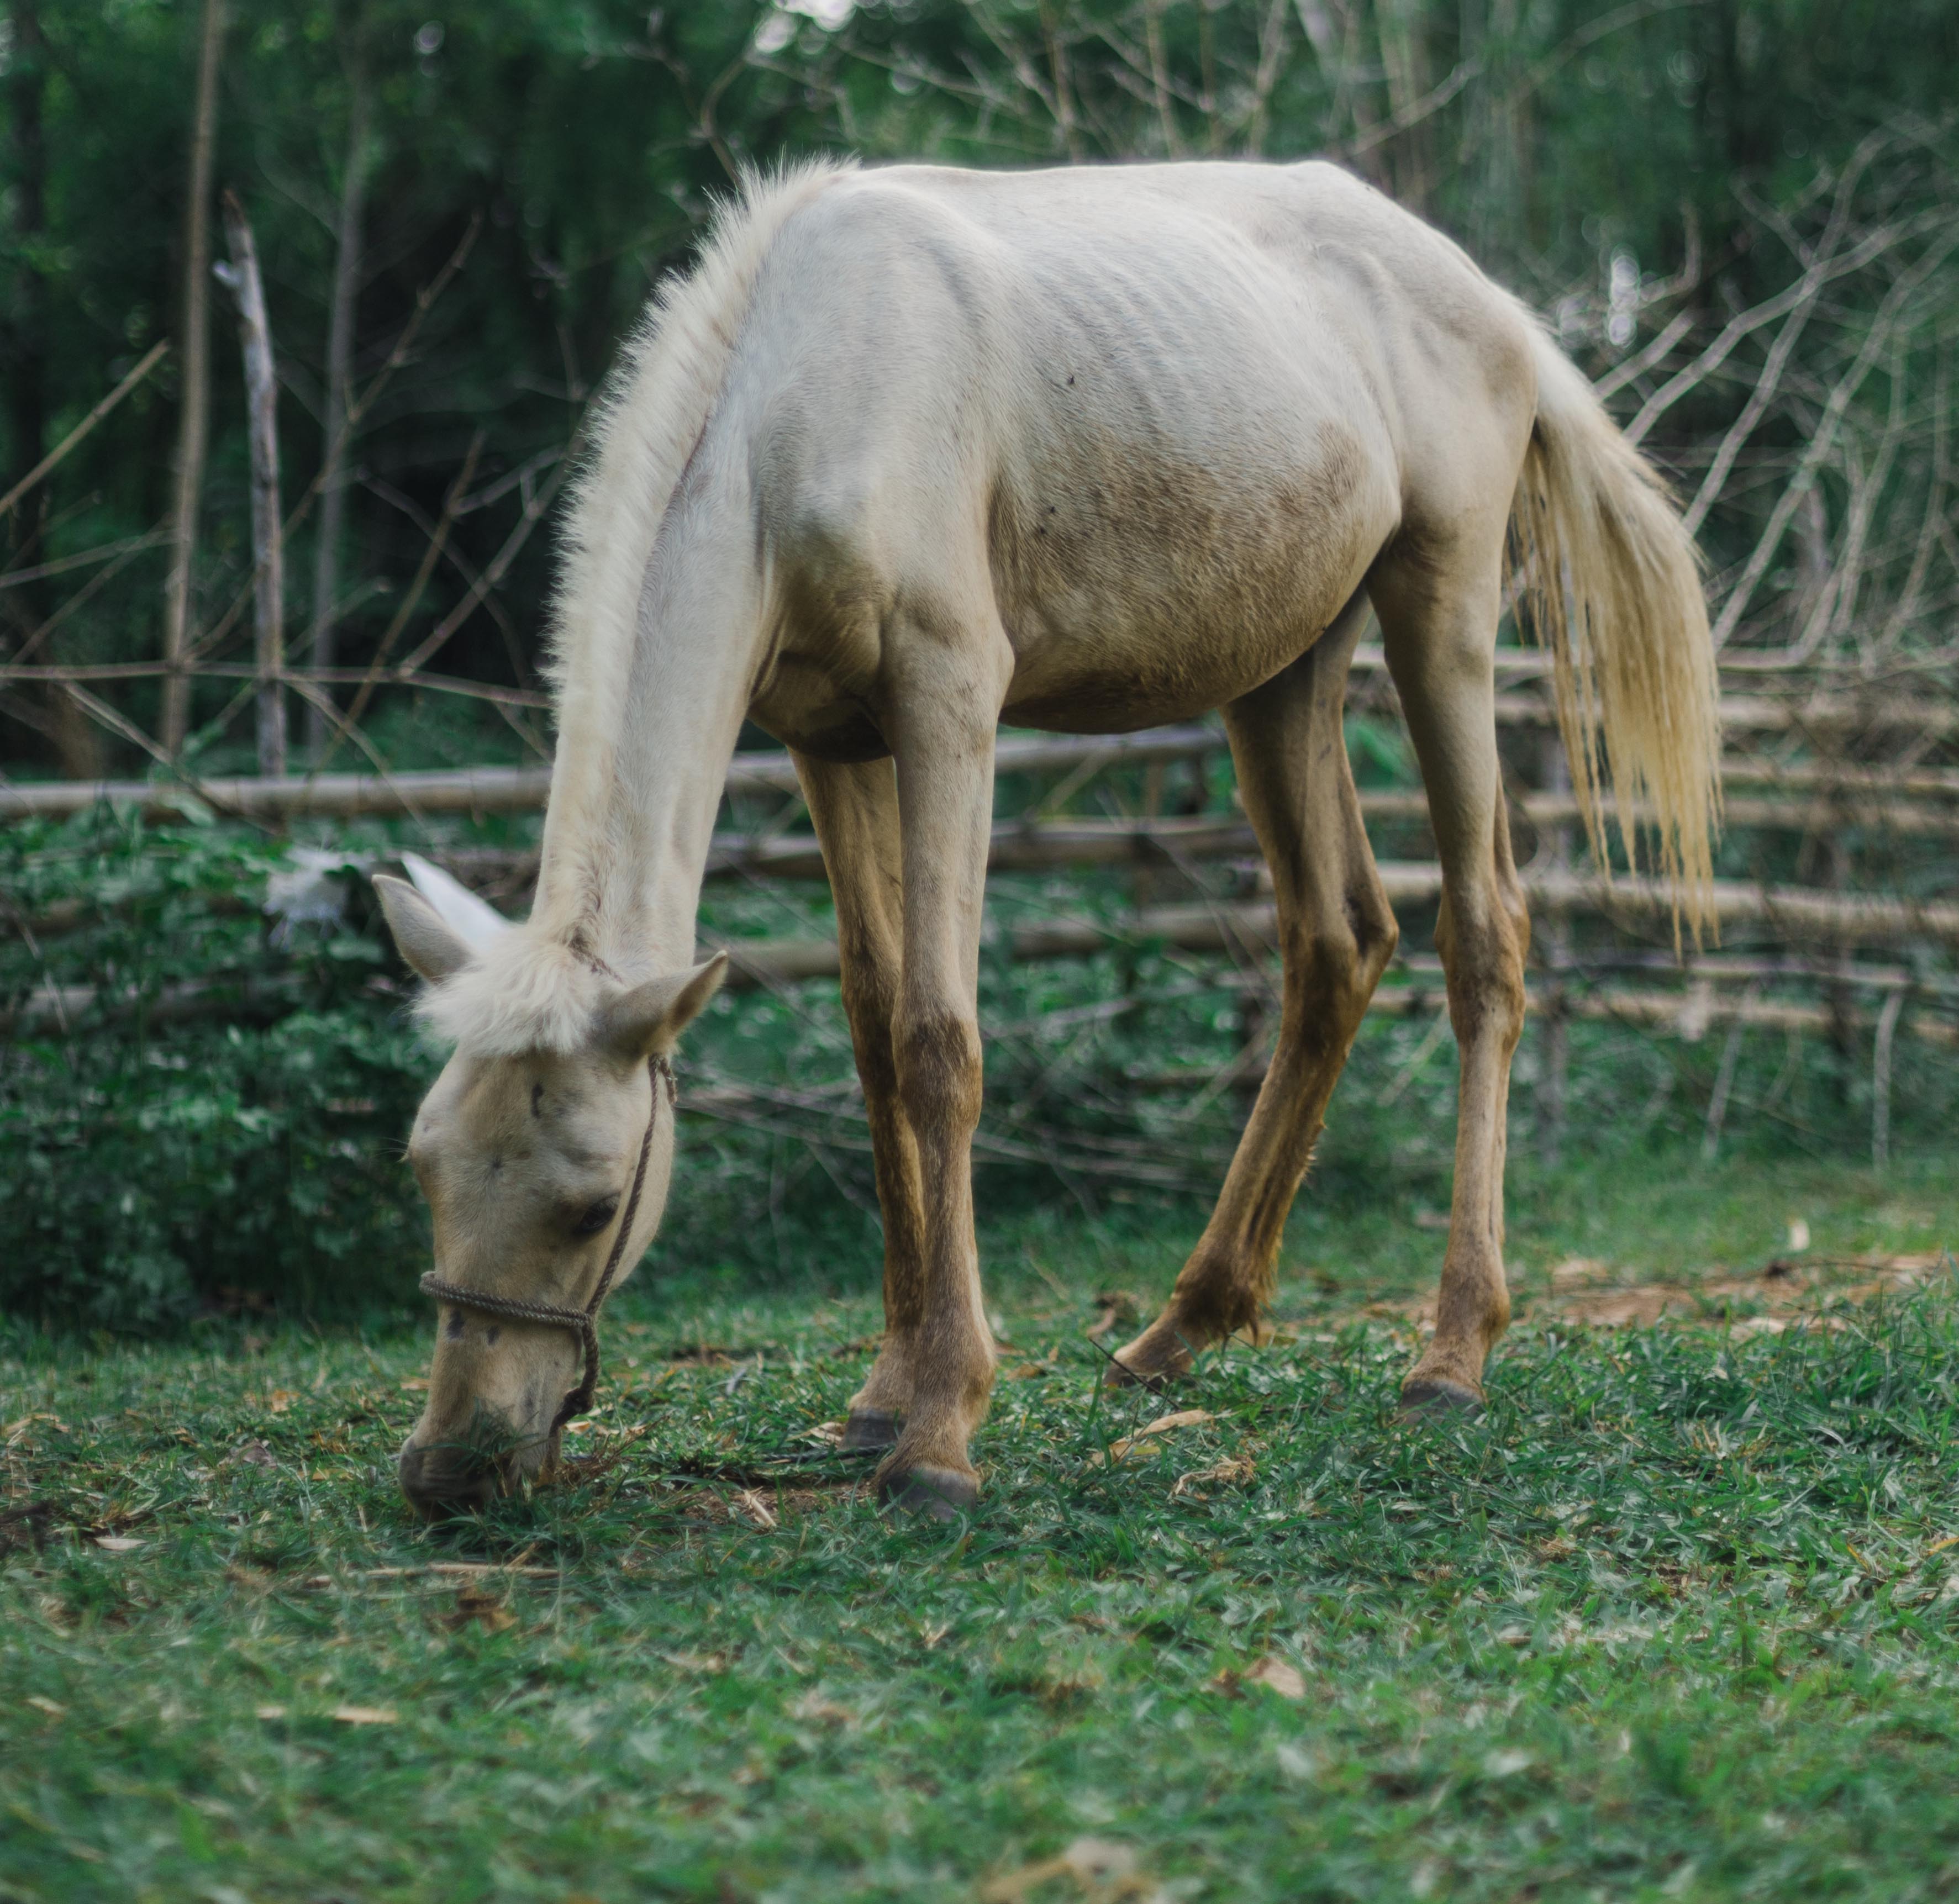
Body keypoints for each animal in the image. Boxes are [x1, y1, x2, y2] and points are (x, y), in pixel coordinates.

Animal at [374, 152, 1724, 1520]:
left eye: (595, 1207)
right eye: (425, 1169)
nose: (453, 1466)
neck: (803, 395)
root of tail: (1492, 301)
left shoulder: (950, 701)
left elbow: (939, 1042)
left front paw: (940, 1433)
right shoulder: (829, 741)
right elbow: (875, 1032)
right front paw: (882, 1395)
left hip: (1439, 613)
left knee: (1484, 938)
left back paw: (1451, 1356)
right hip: (1282, 673)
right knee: (1337, 940)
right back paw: (1182, 1326)